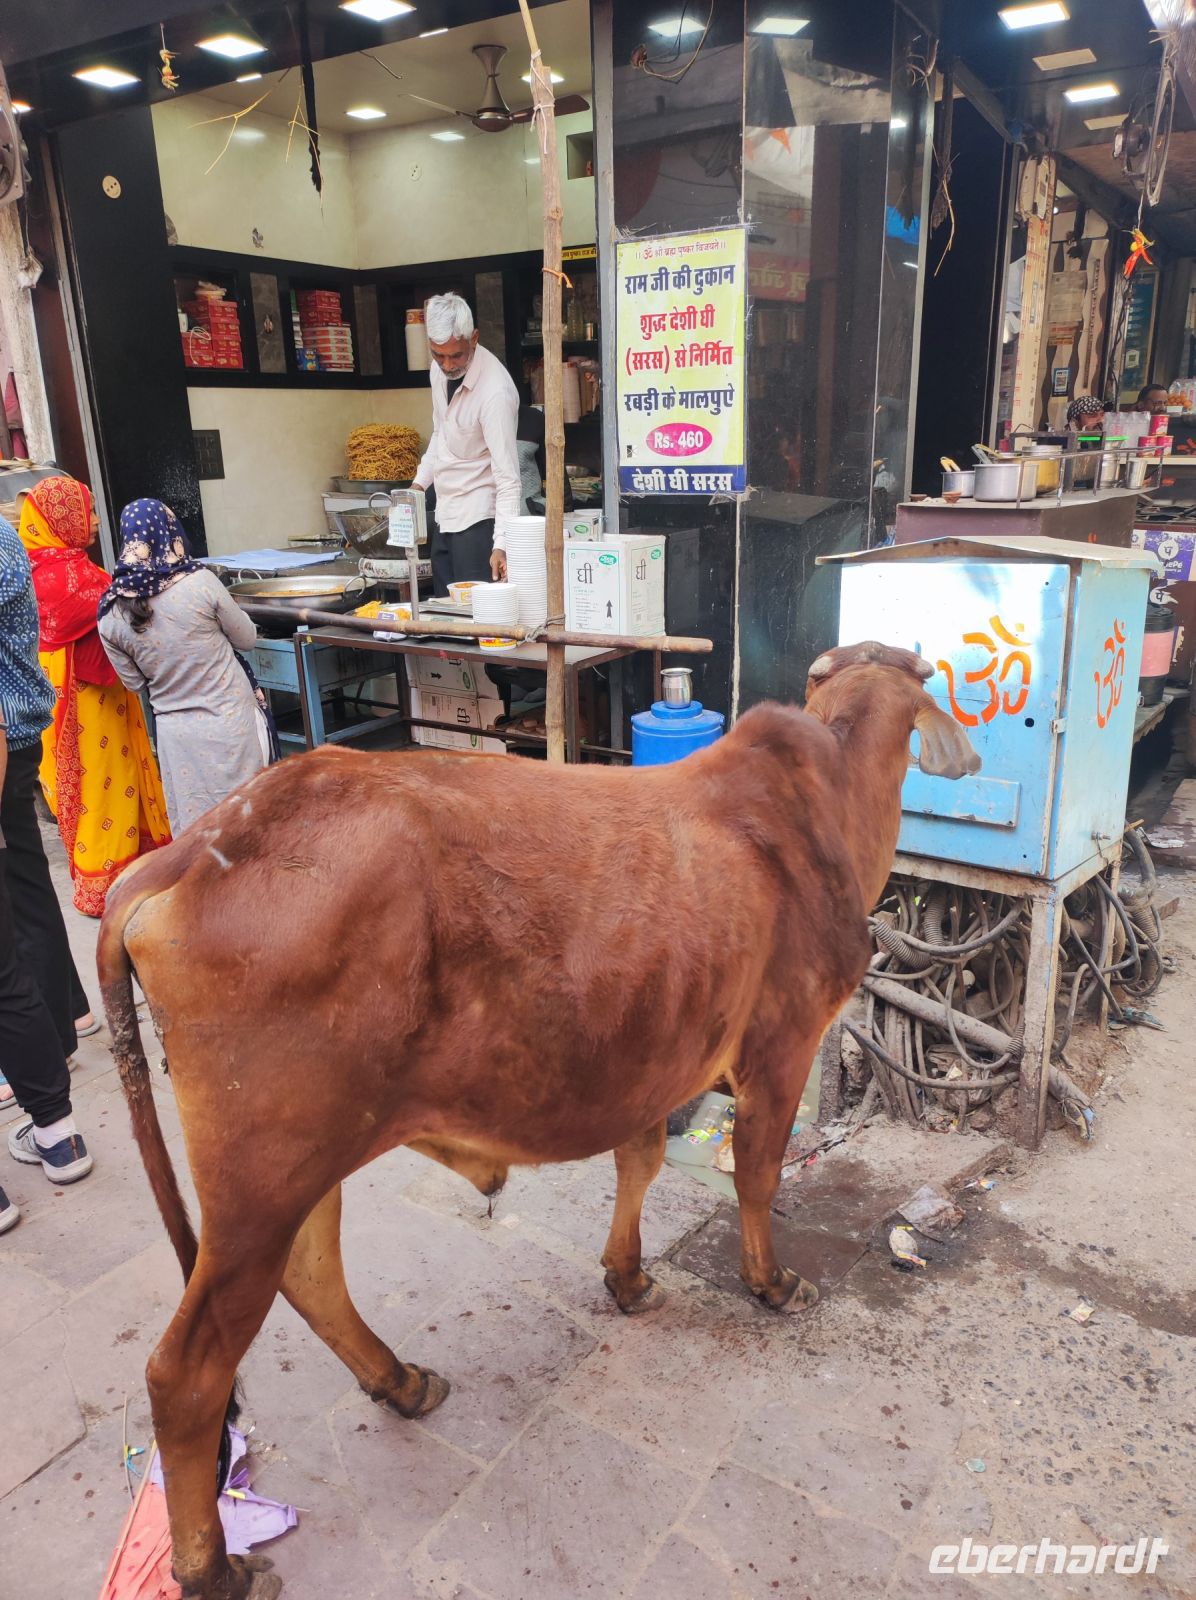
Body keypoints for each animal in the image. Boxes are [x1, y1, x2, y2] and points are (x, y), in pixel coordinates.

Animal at [98, 640, 979, 1600]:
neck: (829, 801)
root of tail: (184, 854)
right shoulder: (779, 1049)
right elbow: (756, 1173)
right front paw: (772, 1283)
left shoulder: (652, 1062)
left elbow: (640, 1164)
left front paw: (628, 1278)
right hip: (261, 1178)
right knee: (187, 1372)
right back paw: (214, 1566)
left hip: (298, 1167)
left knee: (312, 1273)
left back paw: (400, 1381)